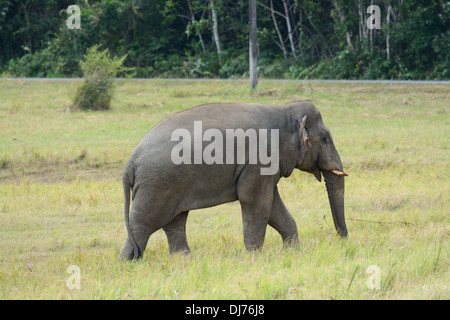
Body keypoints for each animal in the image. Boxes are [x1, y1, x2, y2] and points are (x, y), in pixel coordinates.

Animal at [119, 101, 348, 262]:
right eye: (324, 140)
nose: (344, 240)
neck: (283, 110)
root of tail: (131, 161)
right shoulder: (259, 160)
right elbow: (255, 201)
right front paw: (255, 257)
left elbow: (273, 205)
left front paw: (293, 252)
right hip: (157, 185)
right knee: (143, 224)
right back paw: (129, 262)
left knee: (175, 221)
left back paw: (184, 259)